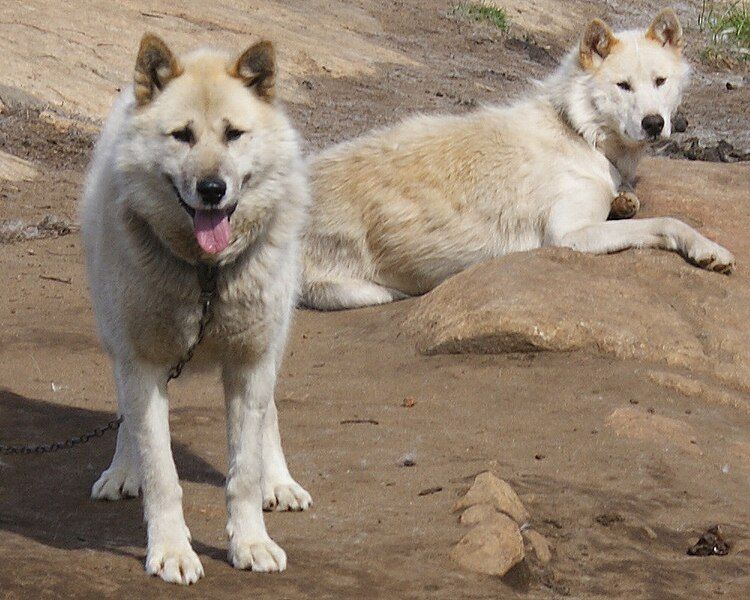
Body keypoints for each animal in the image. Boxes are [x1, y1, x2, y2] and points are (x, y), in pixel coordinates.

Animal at [302, 9, 736, 310]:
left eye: (660, 81)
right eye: (623, 86)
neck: (580, 132)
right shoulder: (569, 236)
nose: (654, 123)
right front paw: (709, 250)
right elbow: (667, 222)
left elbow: (632, 205)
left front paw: (625, 200)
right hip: (357, 291)